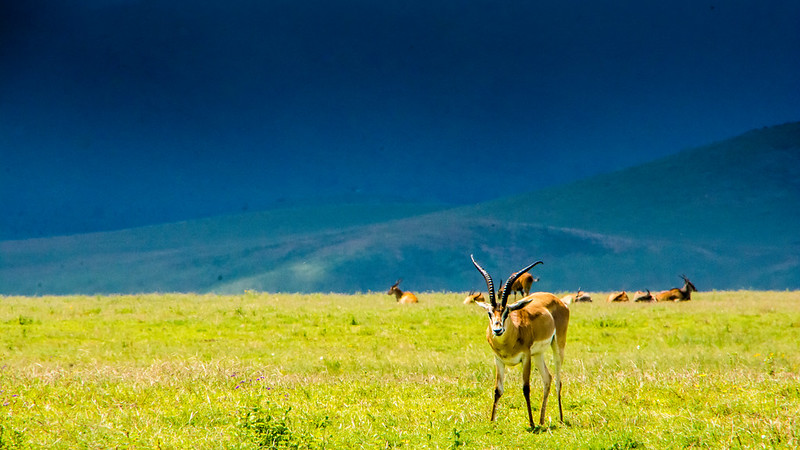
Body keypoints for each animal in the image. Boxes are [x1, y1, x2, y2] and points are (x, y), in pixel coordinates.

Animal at [468, 255, 568, 428]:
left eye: (506, 312)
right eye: (489, 313)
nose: (497, 330)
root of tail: (558, 300)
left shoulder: (526, 357)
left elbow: (526, 388)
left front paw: (531, 423)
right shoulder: (498, 360)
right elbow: (498, 389)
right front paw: (492, 421)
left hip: (557, 346)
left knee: (558, 381)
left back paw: (559, 419)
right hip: (538, 354)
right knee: (547, 378)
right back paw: (542, 420)